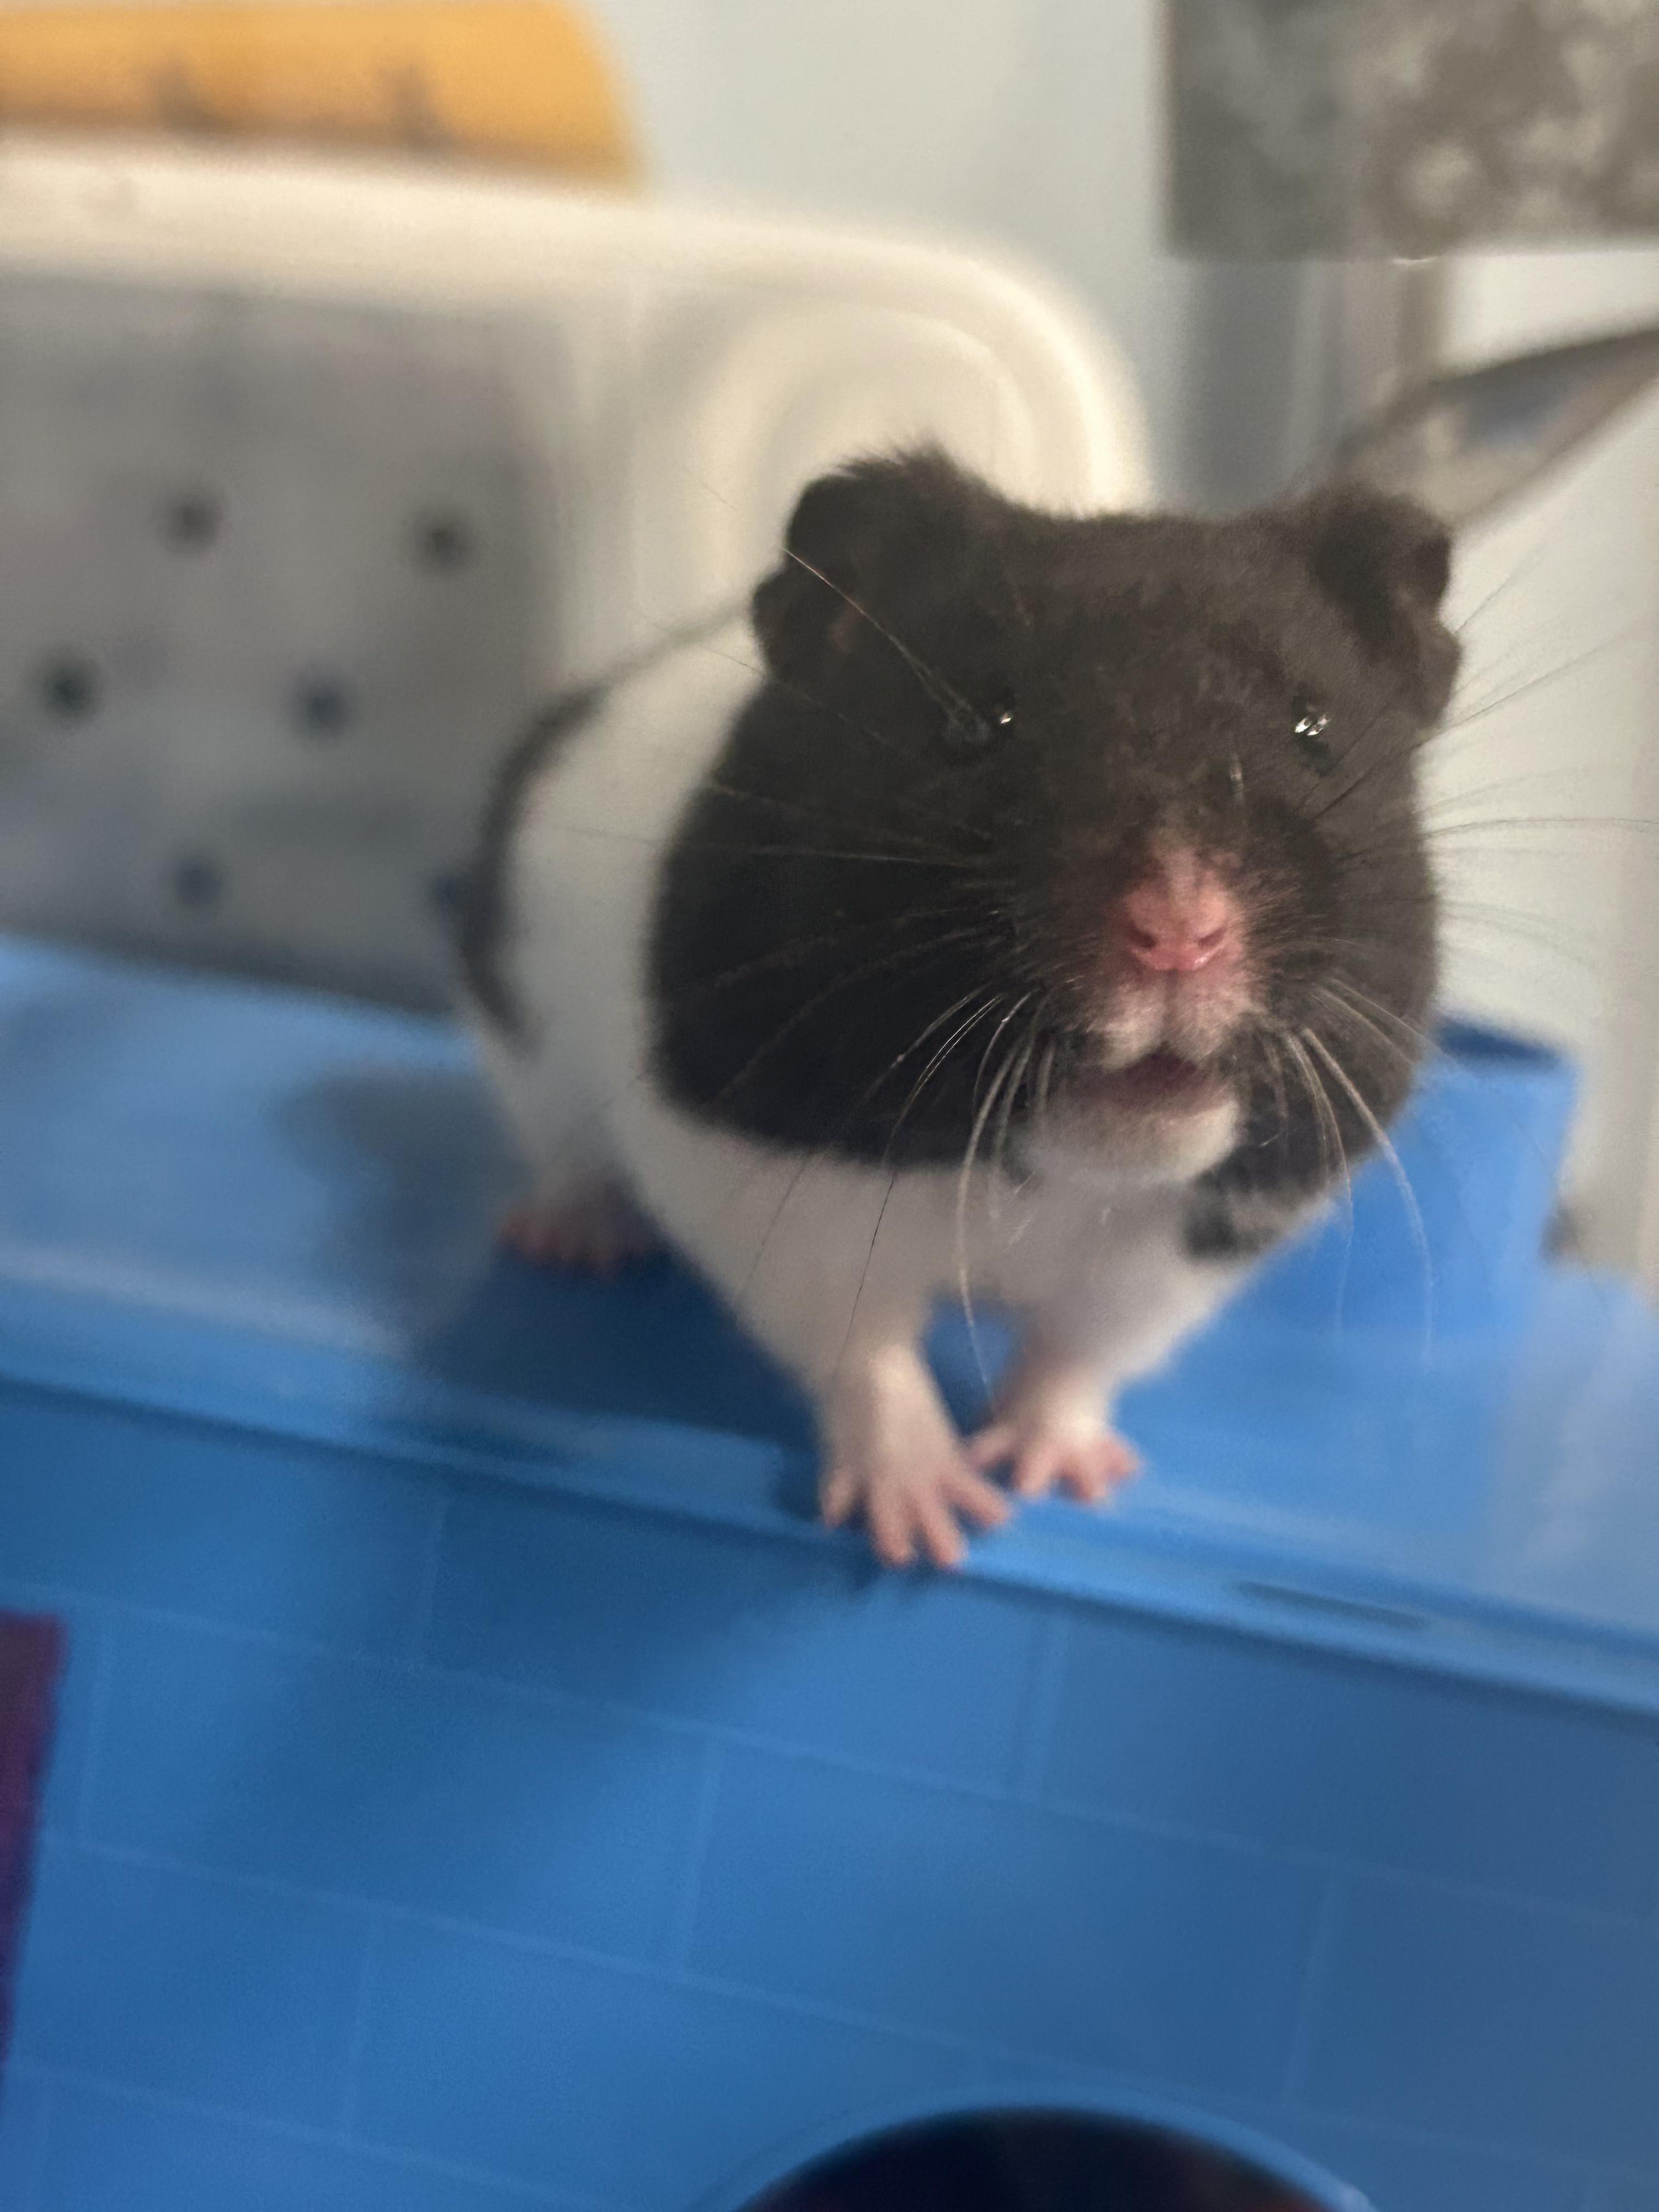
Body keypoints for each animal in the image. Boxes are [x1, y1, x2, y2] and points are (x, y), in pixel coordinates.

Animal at [456, 448, 1459, 1569]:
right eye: (973, 725)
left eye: (1312, 731)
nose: (1178, 931)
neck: (1039, 1175)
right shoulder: (751, 1171)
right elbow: (863, 1348)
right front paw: (934, 1528)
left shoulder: (1195, 1242)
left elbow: (1078, 1354)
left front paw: (1060, 1478)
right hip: (526, 1053)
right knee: (562, 1156)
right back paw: (572, 1242)